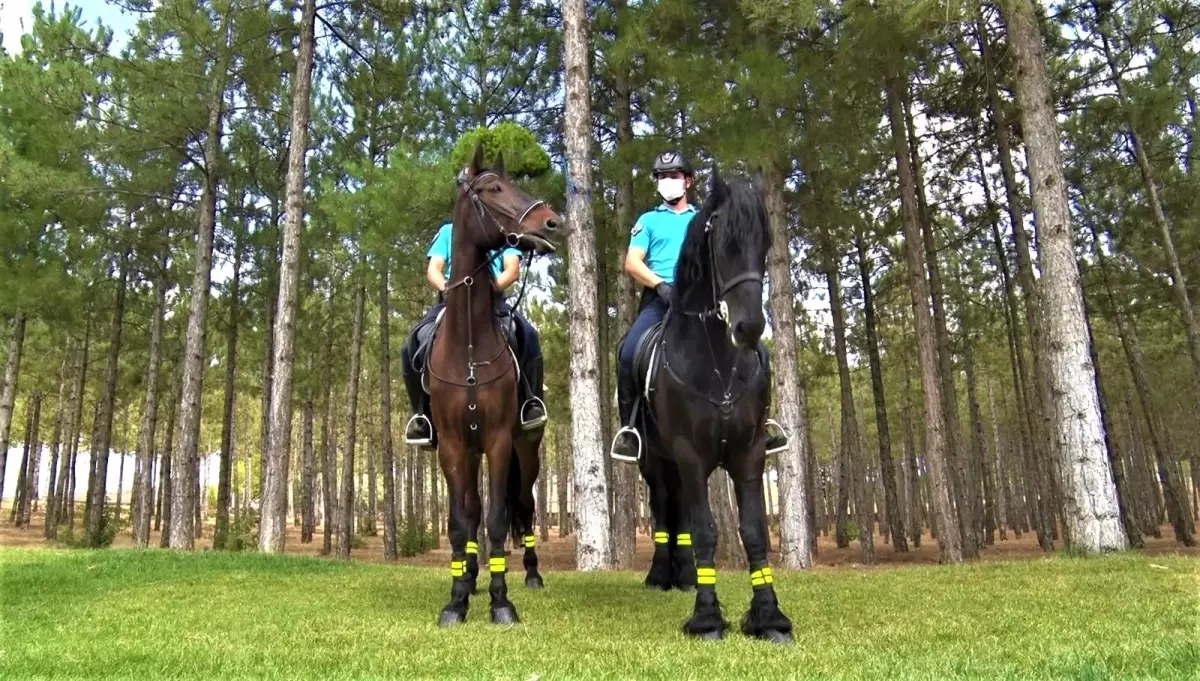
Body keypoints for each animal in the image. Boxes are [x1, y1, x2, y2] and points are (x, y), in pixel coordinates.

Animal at [429, 143, 559, 628]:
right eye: (493, 189)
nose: (552, 222)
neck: (468, 344)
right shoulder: (452, 445)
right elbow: (460, 522)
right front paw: (457, 598)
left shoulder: (501, 440)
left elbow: (500, 519)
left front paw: (501, 602)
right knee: (474, 513)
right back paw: (470, 578)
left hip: (528, 450)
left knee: (524, 507)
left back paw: (532, 575)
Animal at [619, 170, 796, 642]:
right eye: (723, 244)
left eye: (764, 242)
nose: (749, 327)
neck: (716, 364)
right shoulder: (690, 454)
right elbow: (703, 531)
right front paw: (707, 618)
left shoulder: (749, 452)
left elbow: (753, 532)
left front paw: (769, 617)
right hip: (656, 461)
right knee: (664, 508)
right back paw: (661, 575)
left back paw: (681, 576)